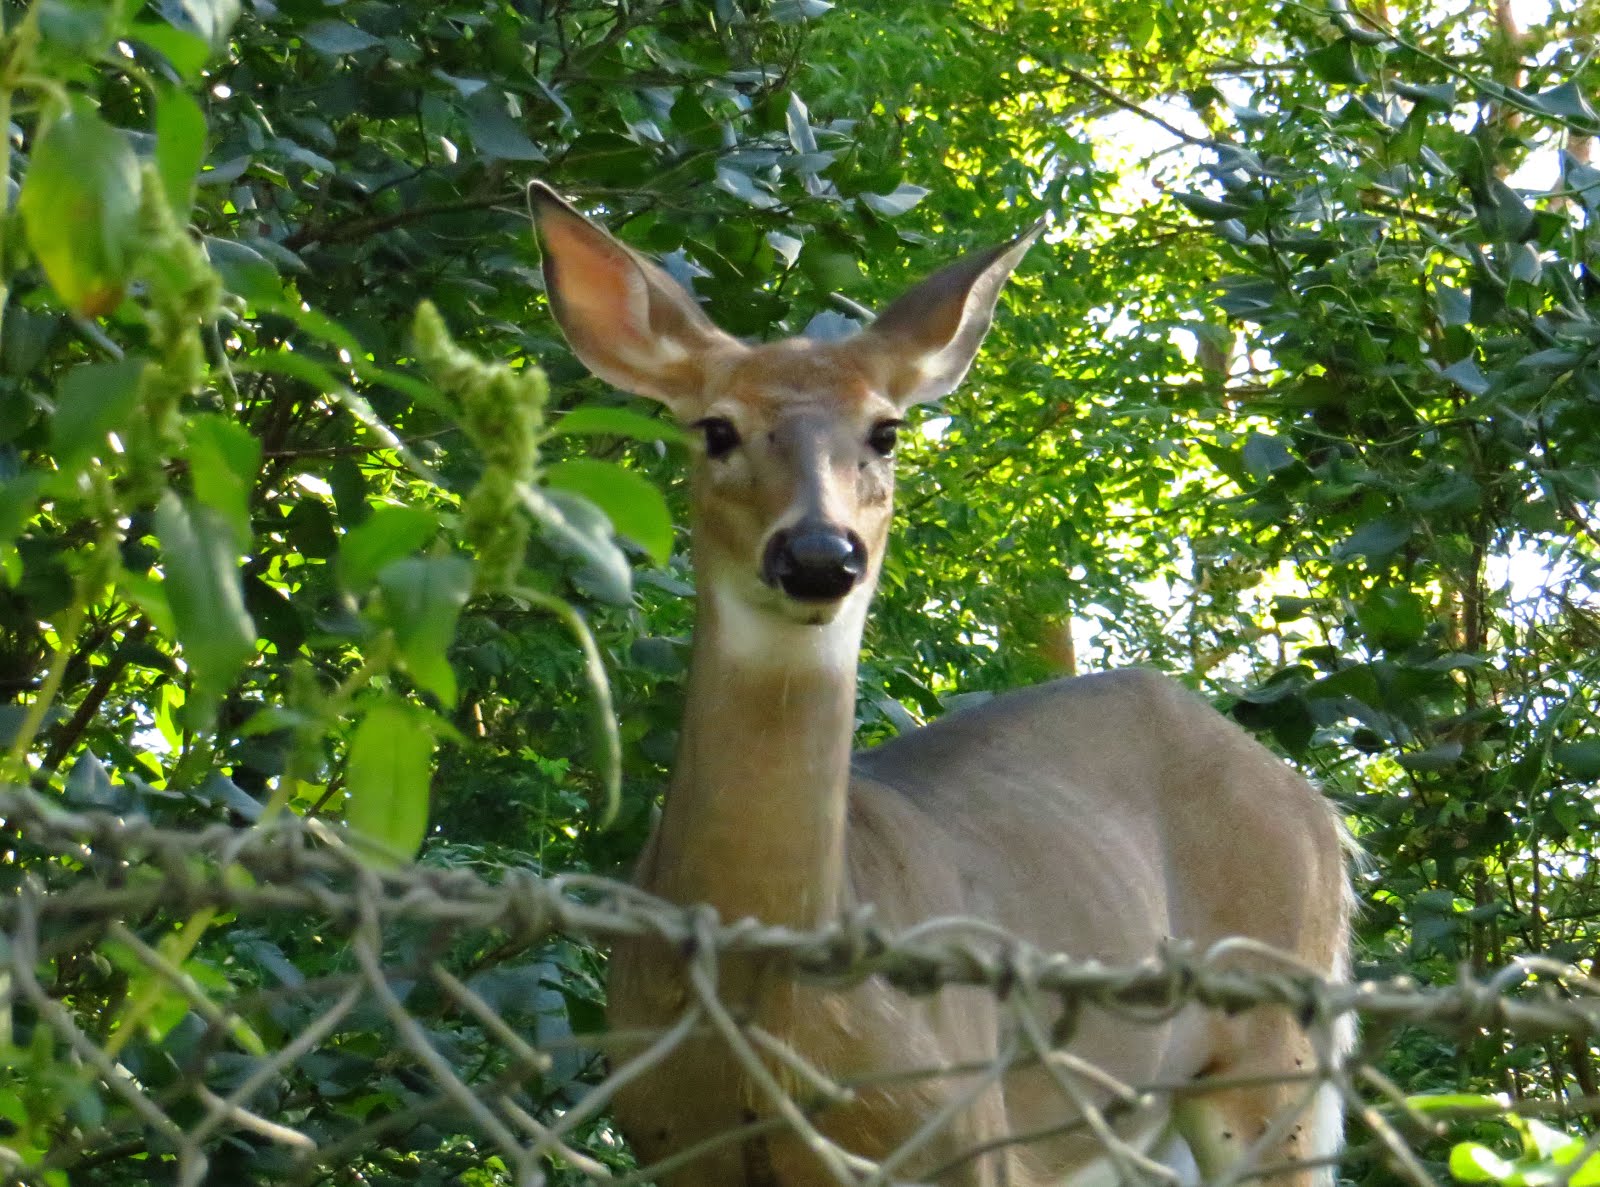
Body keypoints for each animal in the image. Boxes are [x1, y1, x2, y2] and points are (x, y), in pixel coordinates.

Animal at [531, 183, 1356, 1187]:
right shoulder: (674, 1146)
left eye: (885, 430)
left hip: (1276, 1050)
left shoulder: (964, 1130)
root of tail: (1324, 818)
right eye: (716, 428)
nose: (820, 554)